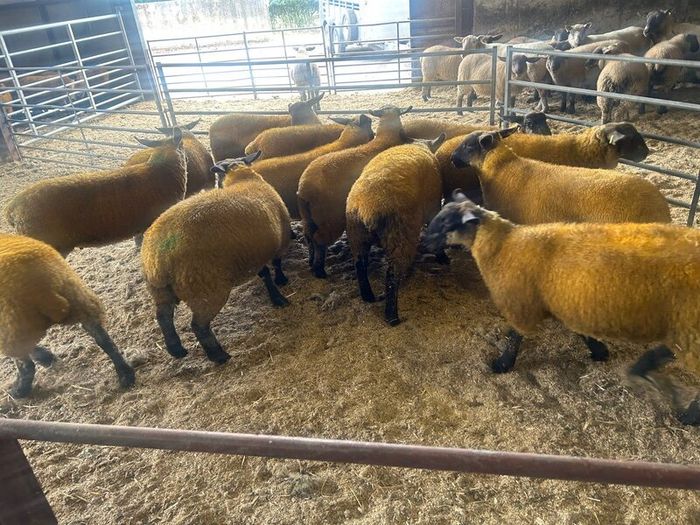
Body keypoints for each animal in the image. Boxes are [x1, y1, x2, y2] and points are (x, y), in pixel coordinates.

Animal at [0, 233, 134, 398]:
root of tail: (45, 289)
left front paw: (45, 357)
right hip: (81, 300)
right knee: (104, 340)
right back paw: (125, 374)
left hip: (14, 325)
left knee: (26, 366)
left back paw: (18, 392)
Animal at [141, 152, 291, 364]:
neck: (242, 177)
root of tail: (158, 256)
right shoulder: (280, 241)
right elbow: (276, 265)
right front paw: (281, 282)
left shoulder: (252, 253)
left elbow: (264, 273)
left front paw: (276, 295)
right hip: (206, 290)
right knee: (198, 325)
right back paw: (218, 355)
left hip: (160, 290)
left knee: (163, 317)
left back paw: (176, 349)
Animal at [297, 106, 412, 278]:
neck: (386, 138)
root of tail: (304, 189)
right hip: (330, 219)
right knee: (319, 240)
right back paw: (319, 271)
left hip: (308, 218)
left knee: (308, 236)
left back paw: (311, 262)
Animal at [346, 135, 446, 326]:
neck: (420, 146)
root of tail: (366, 208)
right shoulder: (433, 207)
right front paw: (443, 257)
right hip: (399, 236)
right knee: (392, 276)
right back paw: (392, 317)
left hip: (357, 236)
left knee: (360, 265)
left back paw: (368, 296)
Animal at [424, 195, 700, 425]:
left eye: (446, 223)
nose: (422, 240)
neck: (504, 246)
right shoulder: (563, 300)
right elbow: (578, 330)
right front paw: (599, 351)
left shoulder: (522, 302)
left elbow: (515, 336)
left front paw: (502, 364)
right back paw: (644, 368)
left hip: (689, 324)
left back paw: (688, 416)